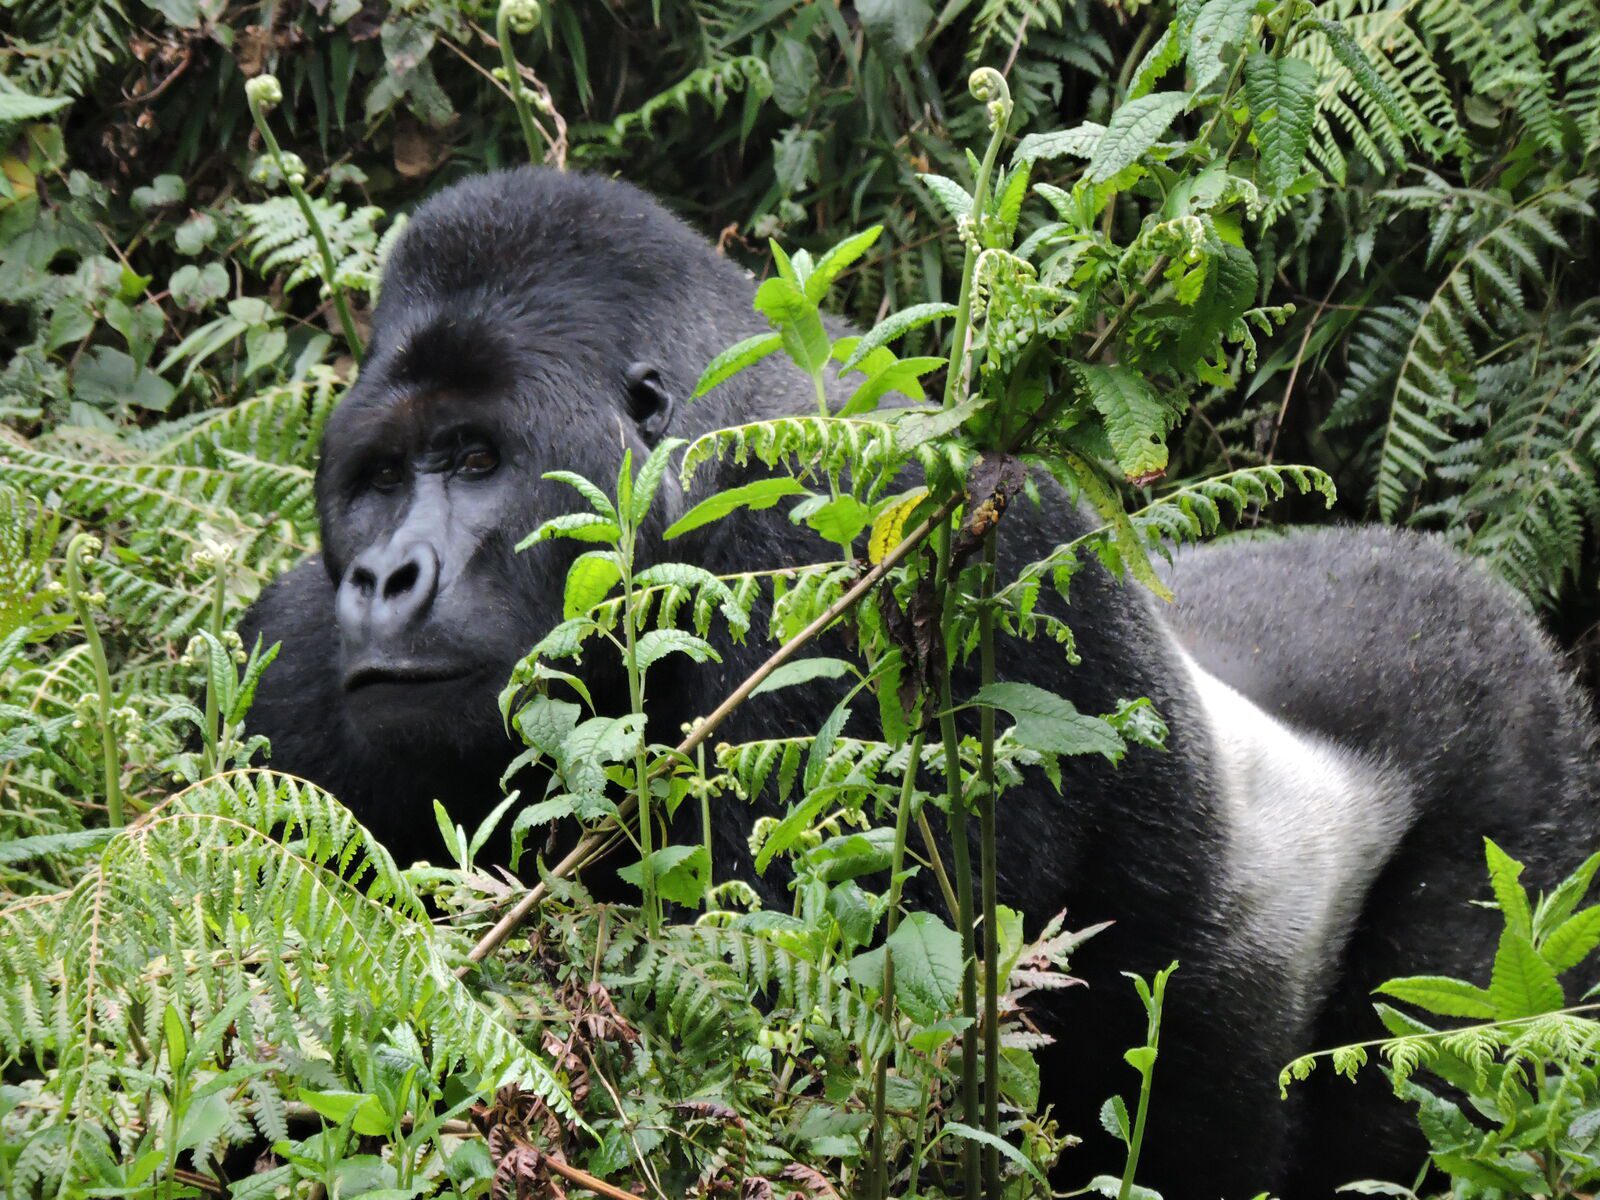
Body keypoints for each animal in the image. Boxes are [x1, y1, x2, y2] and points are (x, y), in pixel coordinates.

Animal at [240, 169, 1600, 1200]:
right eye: (378, 477)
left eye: (475, 460)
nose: (387, 576)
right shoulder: (296, 669)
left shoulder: (849, 566)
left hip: (1518, 754)